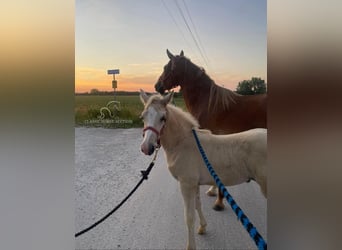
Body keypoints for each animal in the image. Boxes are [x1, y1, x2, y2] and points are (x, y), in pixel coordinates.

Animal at [139, 90, 268, 250]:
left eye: (163, 118)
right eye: (143, 116)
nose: (146, 148)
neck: (183, 143)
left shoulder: (186, 185)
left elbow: (188, 216)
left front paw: (191, 246)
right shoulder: (194, 184)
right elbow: (197, 205)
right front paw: (202, 227)